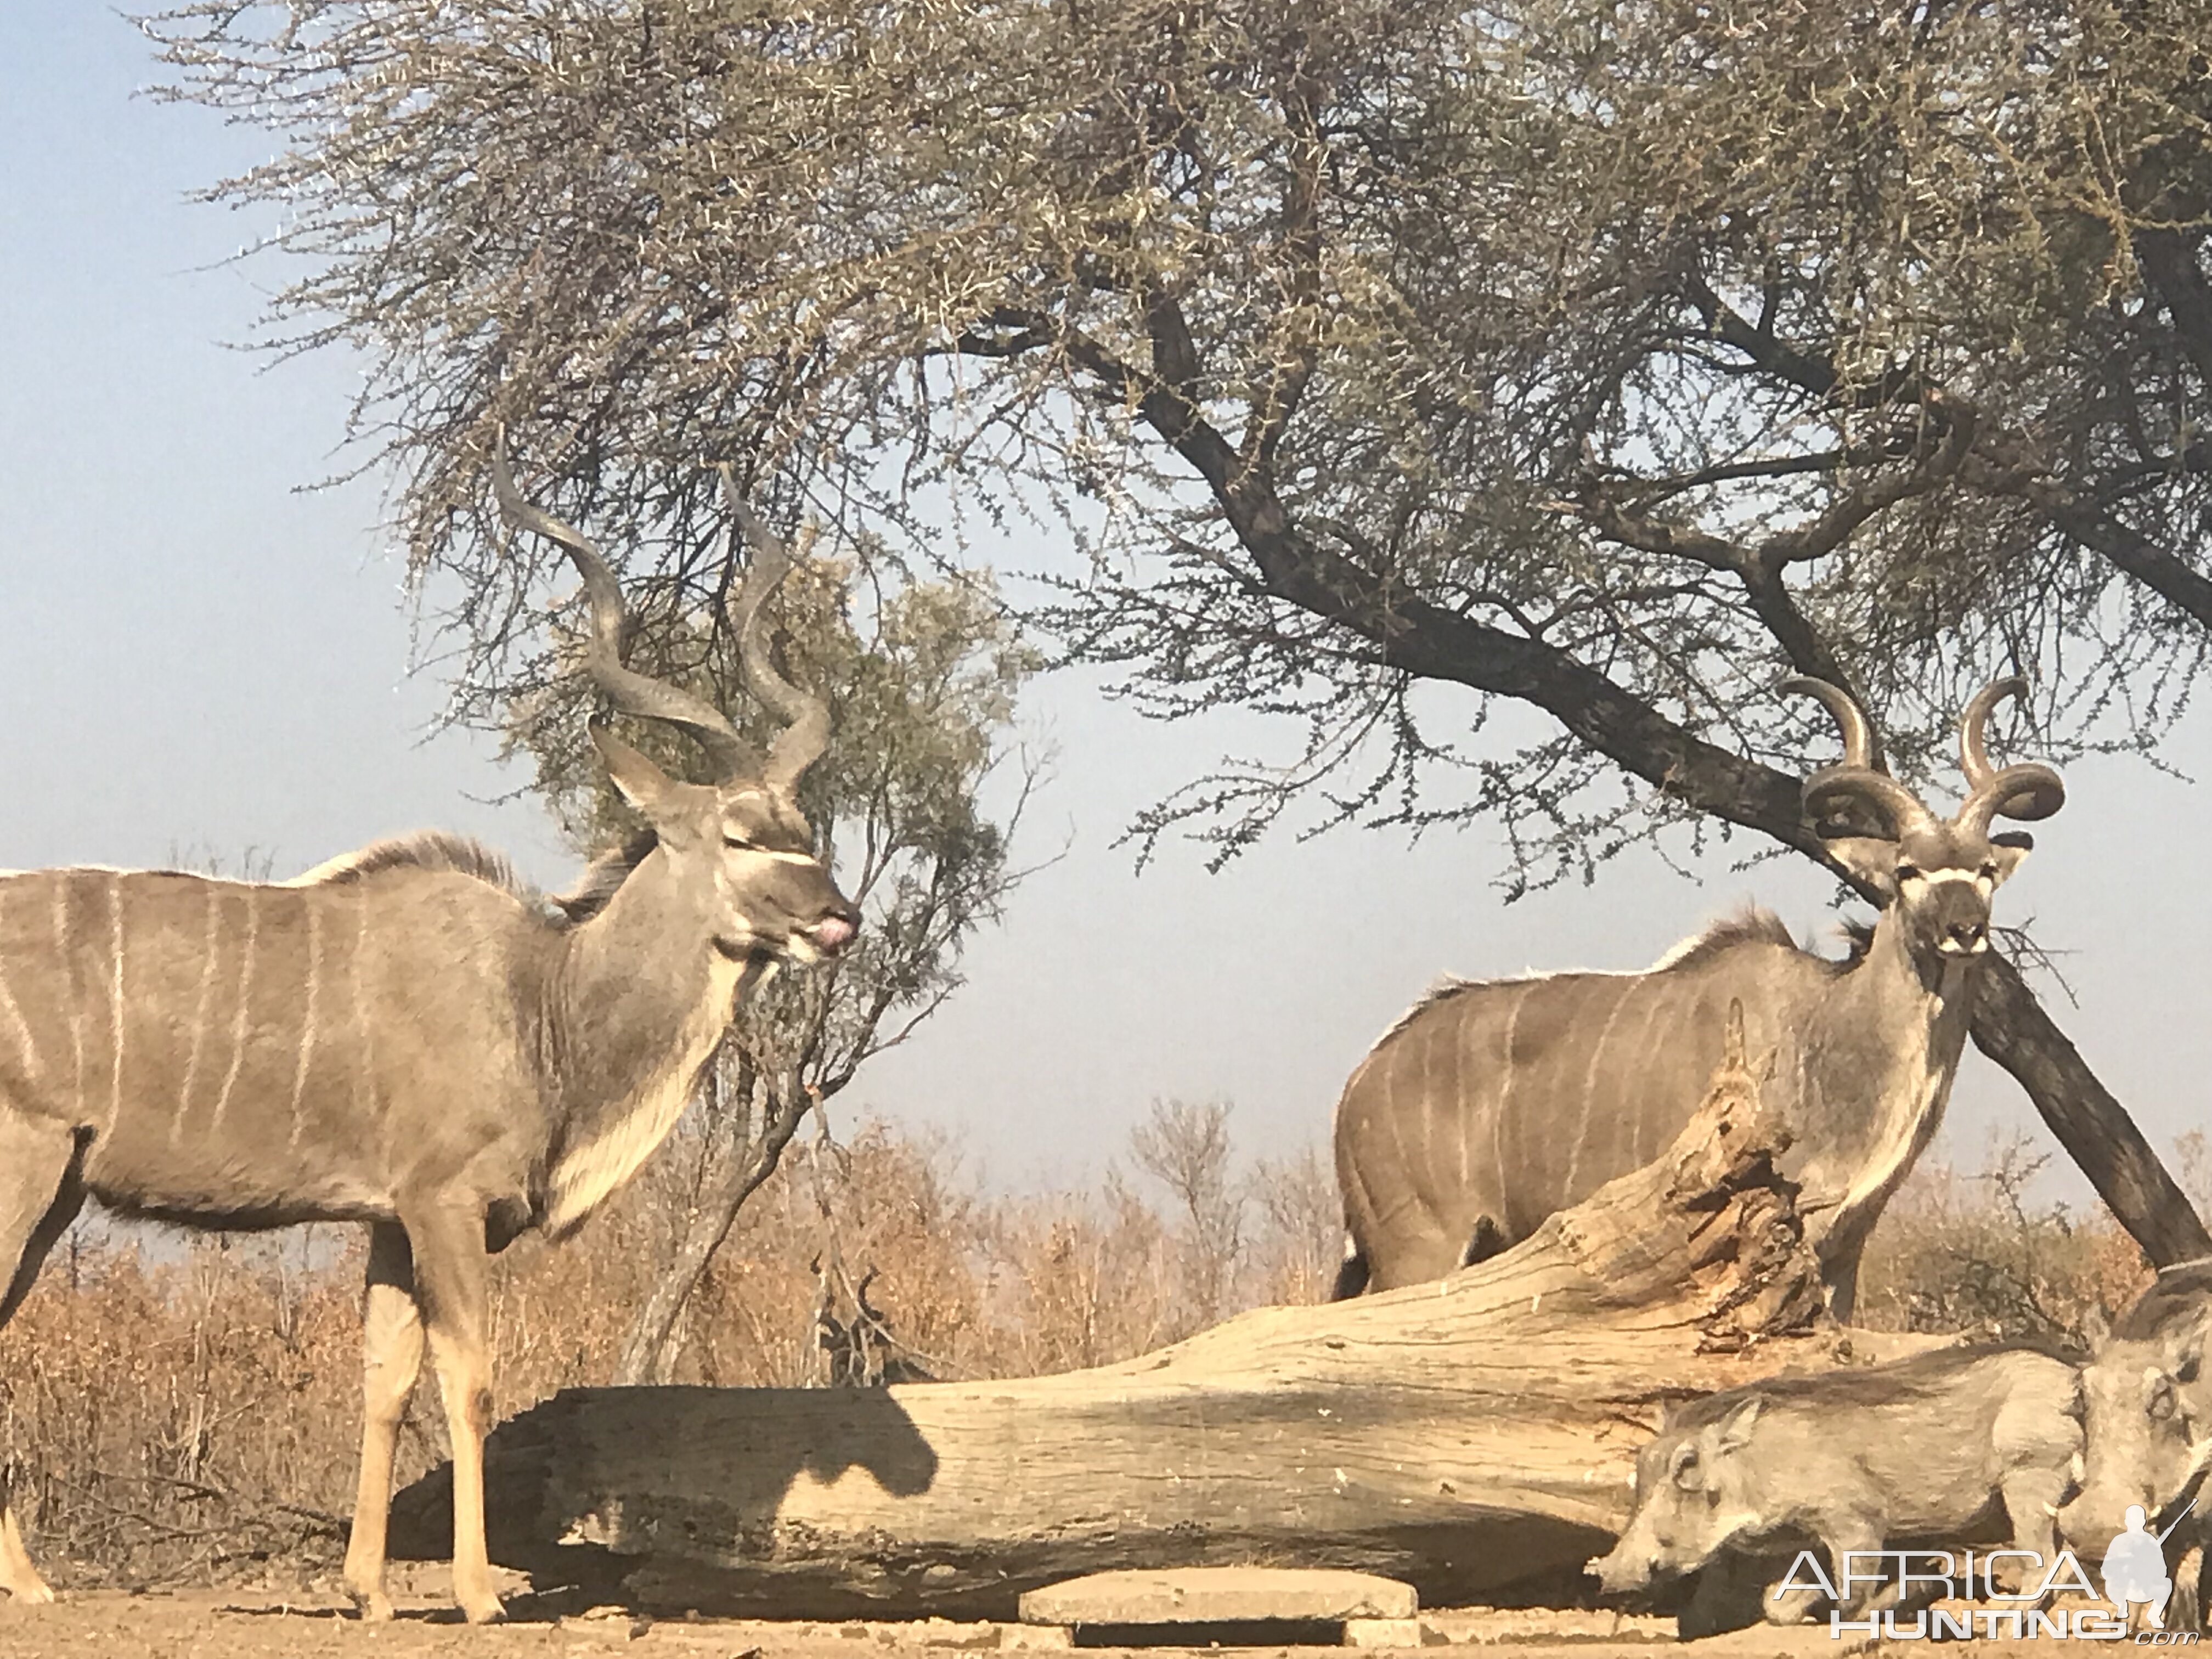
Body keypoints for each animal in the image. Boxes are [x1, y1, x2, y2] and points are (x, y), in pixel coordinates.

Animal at [0, 455, 858, 1628]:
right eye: (739, 834)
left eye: (807, 831)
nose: (839, 919)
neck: (541, 997)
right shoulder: (448, 1206)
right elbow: (472, 1377)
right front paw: (480, 1592)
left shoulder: (390, 1217)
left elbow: (386, 1375)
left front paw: (366, 1587)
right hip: (26, 1167)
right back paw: (33, 1580)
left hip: (59, 1191)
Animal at [1327, 676, 2070, 1327]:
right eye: (1908, 872)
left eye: (1984, 871)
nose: (1965, 929)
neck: (1825, 1031)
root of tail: (1358, 1083)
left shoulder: (1843, 1253)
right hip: (1419, 1248)